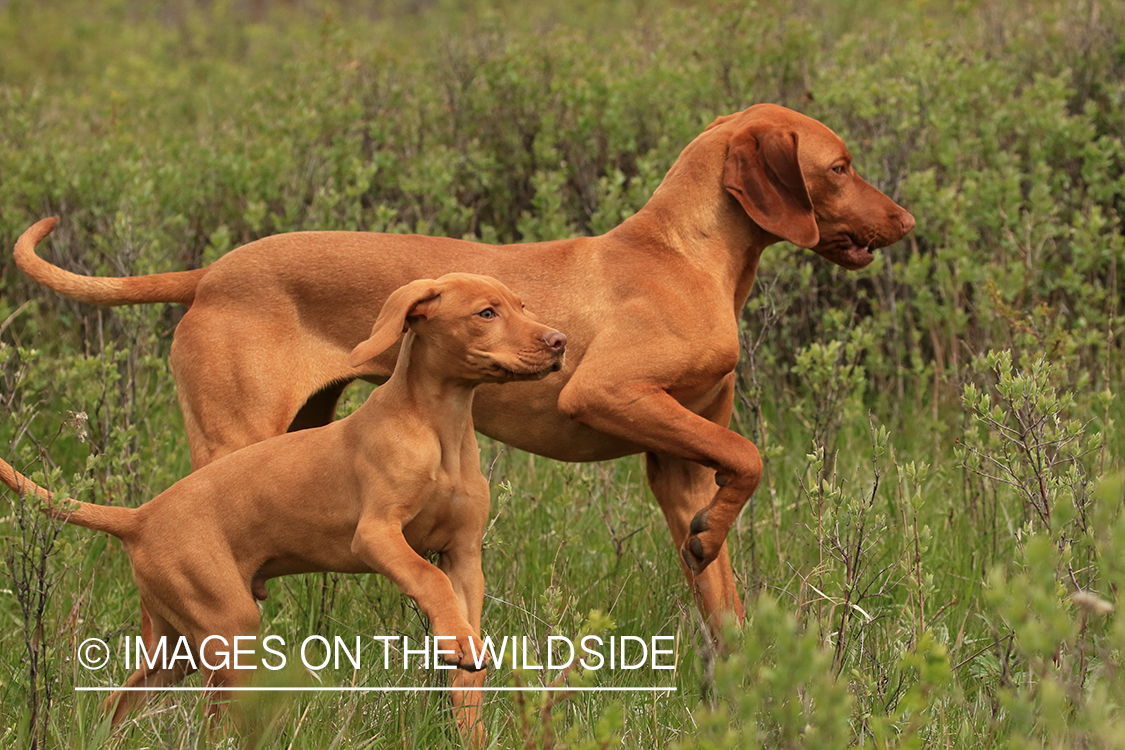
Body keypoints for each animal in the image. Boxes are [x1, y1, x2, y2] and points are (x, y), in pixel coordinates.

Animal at [0, 273, 567, 742]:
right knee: (213, 722)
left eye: (522, 305)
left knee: (121, 704)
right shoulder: (377, 534)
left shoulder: (464, 555)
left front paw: (468, 700)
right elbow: (426, 579)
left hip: (177, 642)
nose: (560, 342)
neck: (439, 428)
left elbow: (467, 663)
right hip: (228, 627)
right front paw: (458, 641)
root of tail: (141, 516)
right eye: (486, 313)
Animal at [13, 101, 913, 629]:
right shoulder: (608, 392)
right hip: (234, 444)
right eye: (839, 166)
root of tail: (212, 271)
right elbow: (750, 456)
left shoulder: (676, 460)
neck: (683, 254)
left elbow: (720, 575)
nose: (905, 219)